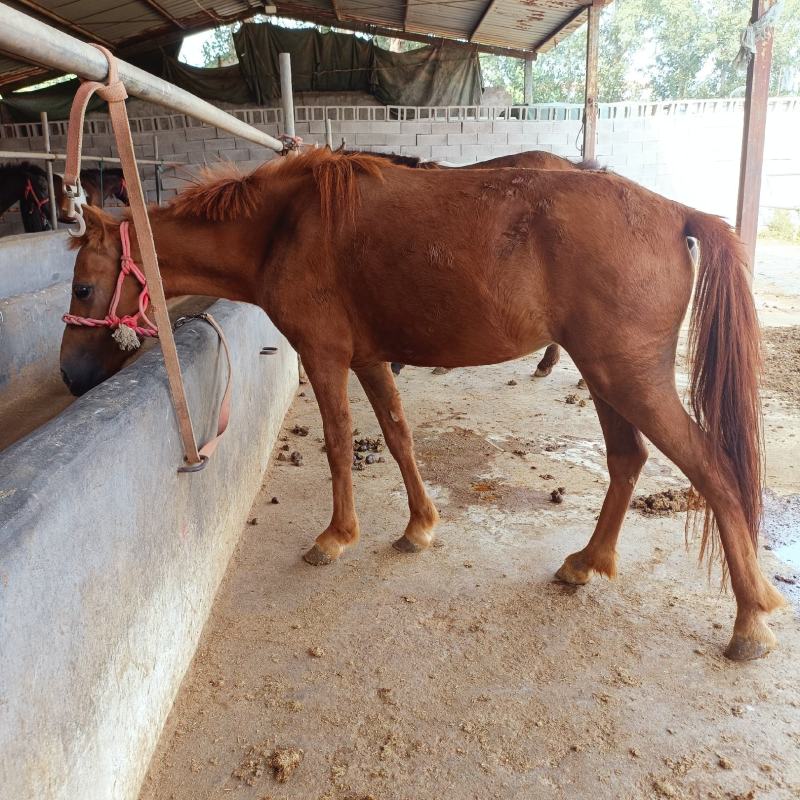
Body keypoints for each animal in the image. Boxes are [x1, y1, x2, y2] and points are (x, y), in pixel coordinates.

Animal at [59, 149, 785, 660]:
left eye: (85, 286)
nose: (69, 375)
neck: (283, 228)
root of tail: (673, 211)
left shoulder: (325, 356)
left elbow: (339, 443)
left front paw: (336, 536)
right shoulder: (369, 358)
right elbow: (398, 435)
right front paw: (419, 526)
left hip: (630, 378)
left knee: (714, 472)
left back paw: (749, 622)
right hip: (608, 377)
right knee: (627, 459)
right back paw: (585, 564)